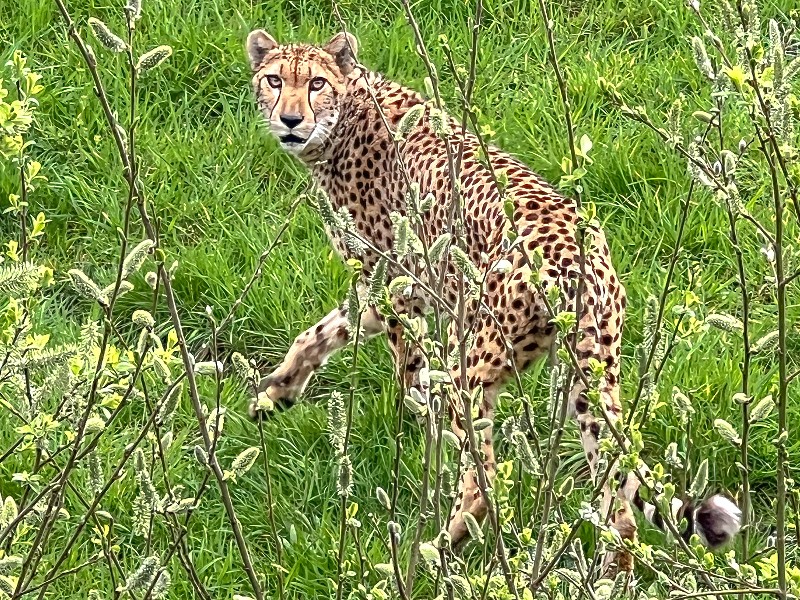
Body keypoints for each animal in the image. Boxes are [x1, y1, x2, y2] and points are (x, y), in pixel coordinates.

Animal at [242, 27, 736, 572]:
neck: (346, 113)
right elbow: (322, 332)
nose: (290, 120)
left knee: (484, 480)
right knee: (618, 506)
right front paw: (276, 392)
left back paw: (432, 553)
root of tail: (575, 260)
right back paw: (607, 575)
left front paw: (413, 420)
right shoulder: (393, 287)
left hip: (477, 367)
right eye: (274, 80)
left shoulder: (394, 285)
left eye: (315, 84)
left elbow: (399, 366)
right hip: (586, 379)